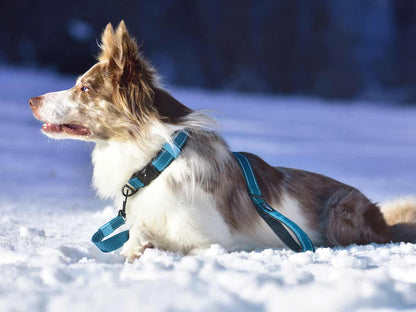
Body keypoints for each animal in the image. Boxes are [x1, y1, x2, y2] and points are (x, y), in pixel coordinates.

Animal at [29, 20, 416, 262]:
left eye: (85, 88)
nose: (31, 100)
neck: (155, 160)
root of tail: (383, 219)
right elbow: (138, 235)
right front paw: (138, 245)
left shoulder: (213, 241)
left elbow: (173, 245)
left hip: (341, 209)